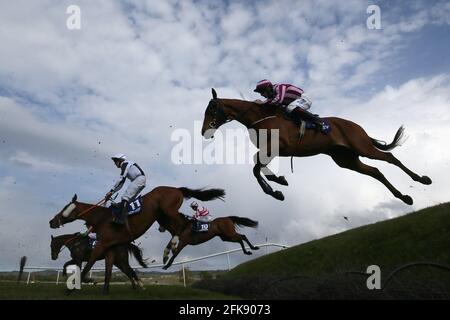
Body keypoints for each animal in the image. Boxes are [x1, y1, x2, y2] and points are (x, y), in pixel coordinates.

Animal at [49, 186, 225, 294]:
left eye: (65, 209)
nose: (52, 221)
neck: (102, 218)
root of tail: (176, 189)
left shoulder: (101, 246)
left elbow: (87, 266)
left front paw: (73, 288)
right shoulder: (110, 249)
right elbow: (108, 271)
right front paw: (104, 290)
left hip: (168, 211)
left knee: (183, 224)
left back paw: (173, 246)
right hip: (162, 217)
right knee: (178, 227)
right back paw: (167, 252)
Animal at [201, 89, 432, 205]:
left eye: (211, 109)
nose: (204, 131)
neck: (261, 117)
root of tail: (356, 125)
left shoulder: (277, 147)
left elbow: (256, 169)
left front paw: (276, 188)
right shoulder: (270, 151)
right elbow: (257, 168)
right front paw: (279, 183)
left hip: (362, 146)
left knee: (391, 159)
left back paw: (422, 179)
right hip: (346, 160)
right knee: (376, 171)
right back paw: (404, 197)